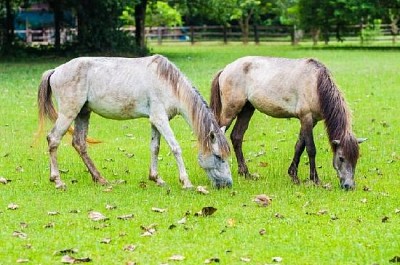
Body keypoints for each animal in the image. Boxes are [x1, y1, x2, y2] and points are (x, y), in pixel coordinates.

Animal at [38, 54, 231, 189]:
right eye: (217, 156)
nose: (228, 184)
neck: (168, 83)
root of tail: (55, 70)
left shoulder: (156, 120)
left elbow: (155, 148)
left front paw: (156, 179)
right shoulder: (160, 119)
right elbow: (175, 147)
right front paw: (186, 182)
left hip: (83, 113)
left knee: (79, 143)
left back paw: (100, 179)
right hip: (68, 113)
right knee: (53, 139)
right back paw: (57, 181)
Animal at [209, 55, 366, 189]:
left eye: (356, 159)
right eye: (341, 158)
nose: (349, 186)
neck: (315, 84)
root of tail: (226, 69)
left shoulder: (311, 121)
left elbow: (299, 146)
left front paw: (293, 176)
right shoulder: (306, 117)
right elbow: (311, 149)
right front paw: (315, 179)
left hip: (247, 109)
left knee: (236, 137)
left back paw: (246, 173)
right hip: (230, 111)